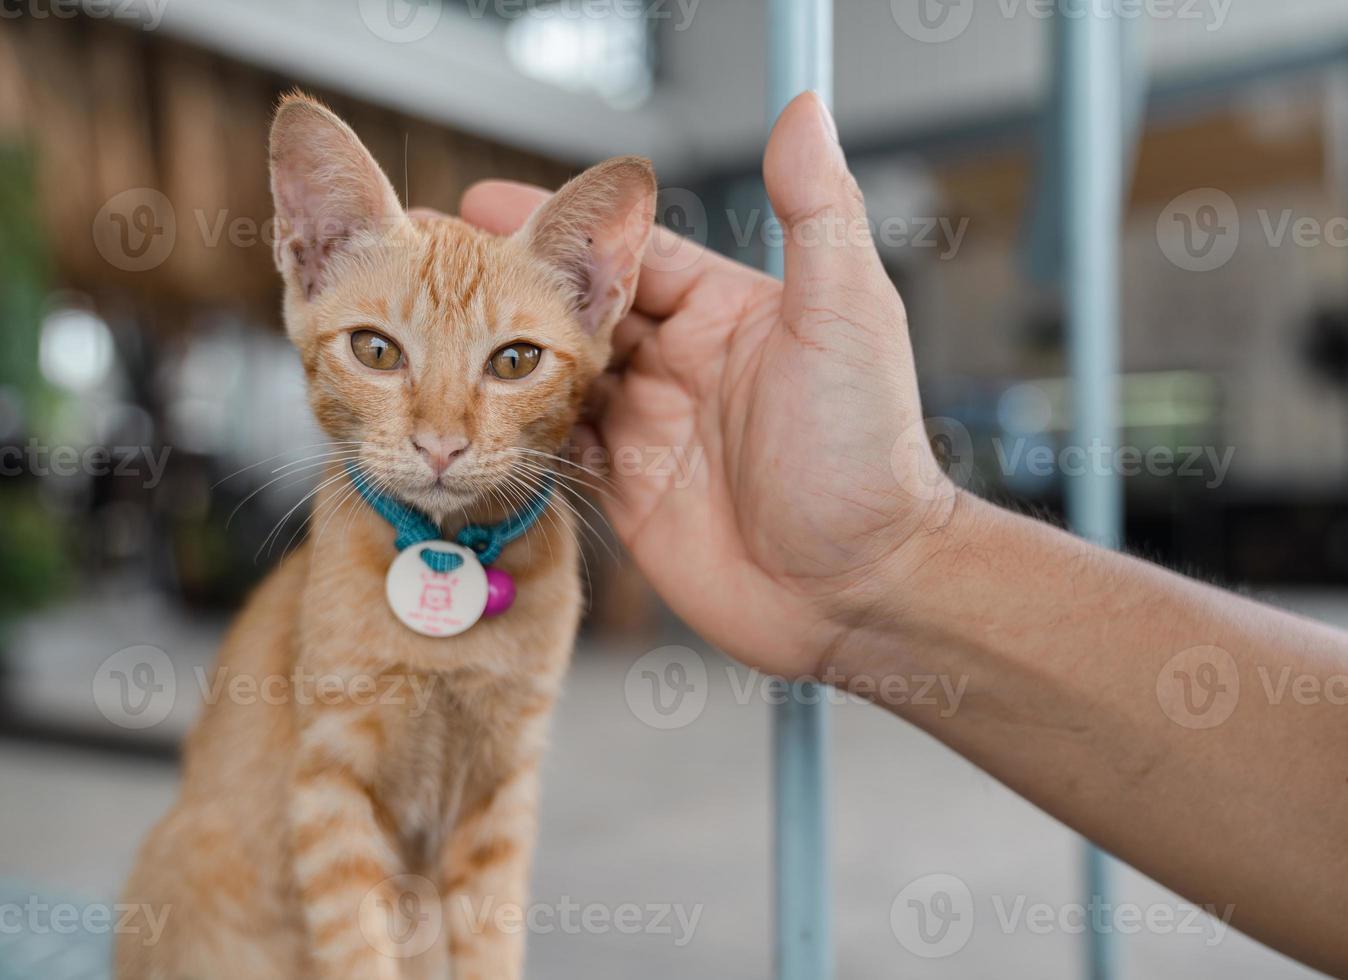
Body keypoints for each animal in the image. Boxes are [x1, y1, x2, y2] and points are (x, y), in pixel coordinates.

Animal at [118, 95, 655, 980]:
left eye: (515, 361)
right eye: (376, 349)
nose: (440, 444)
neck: (445, 549)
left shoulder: (499, 795)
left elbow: (489, 943)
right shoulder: (330, 787)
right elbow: (356, 948)